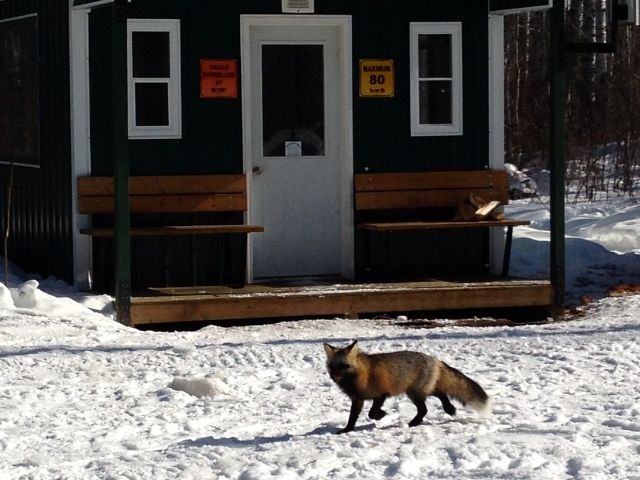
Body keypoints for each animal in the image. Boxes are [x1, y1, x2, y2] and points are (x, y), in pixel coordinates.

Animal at [323, 340, 490, 433]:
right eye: (332, 367)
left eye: (343, 366)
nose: (333, 377)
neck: (362, 375)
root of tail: (434, 359)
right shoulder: (357, 399)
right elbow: (352, 417)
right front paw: (347, 430)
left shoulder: (381, 394)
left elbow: (372, 413)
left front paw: (382, 415)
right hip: (418, 391)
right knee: (440, 393)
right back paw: (449, 409)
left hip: (414, 392)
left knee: (424, 409)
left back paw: (413, 423)